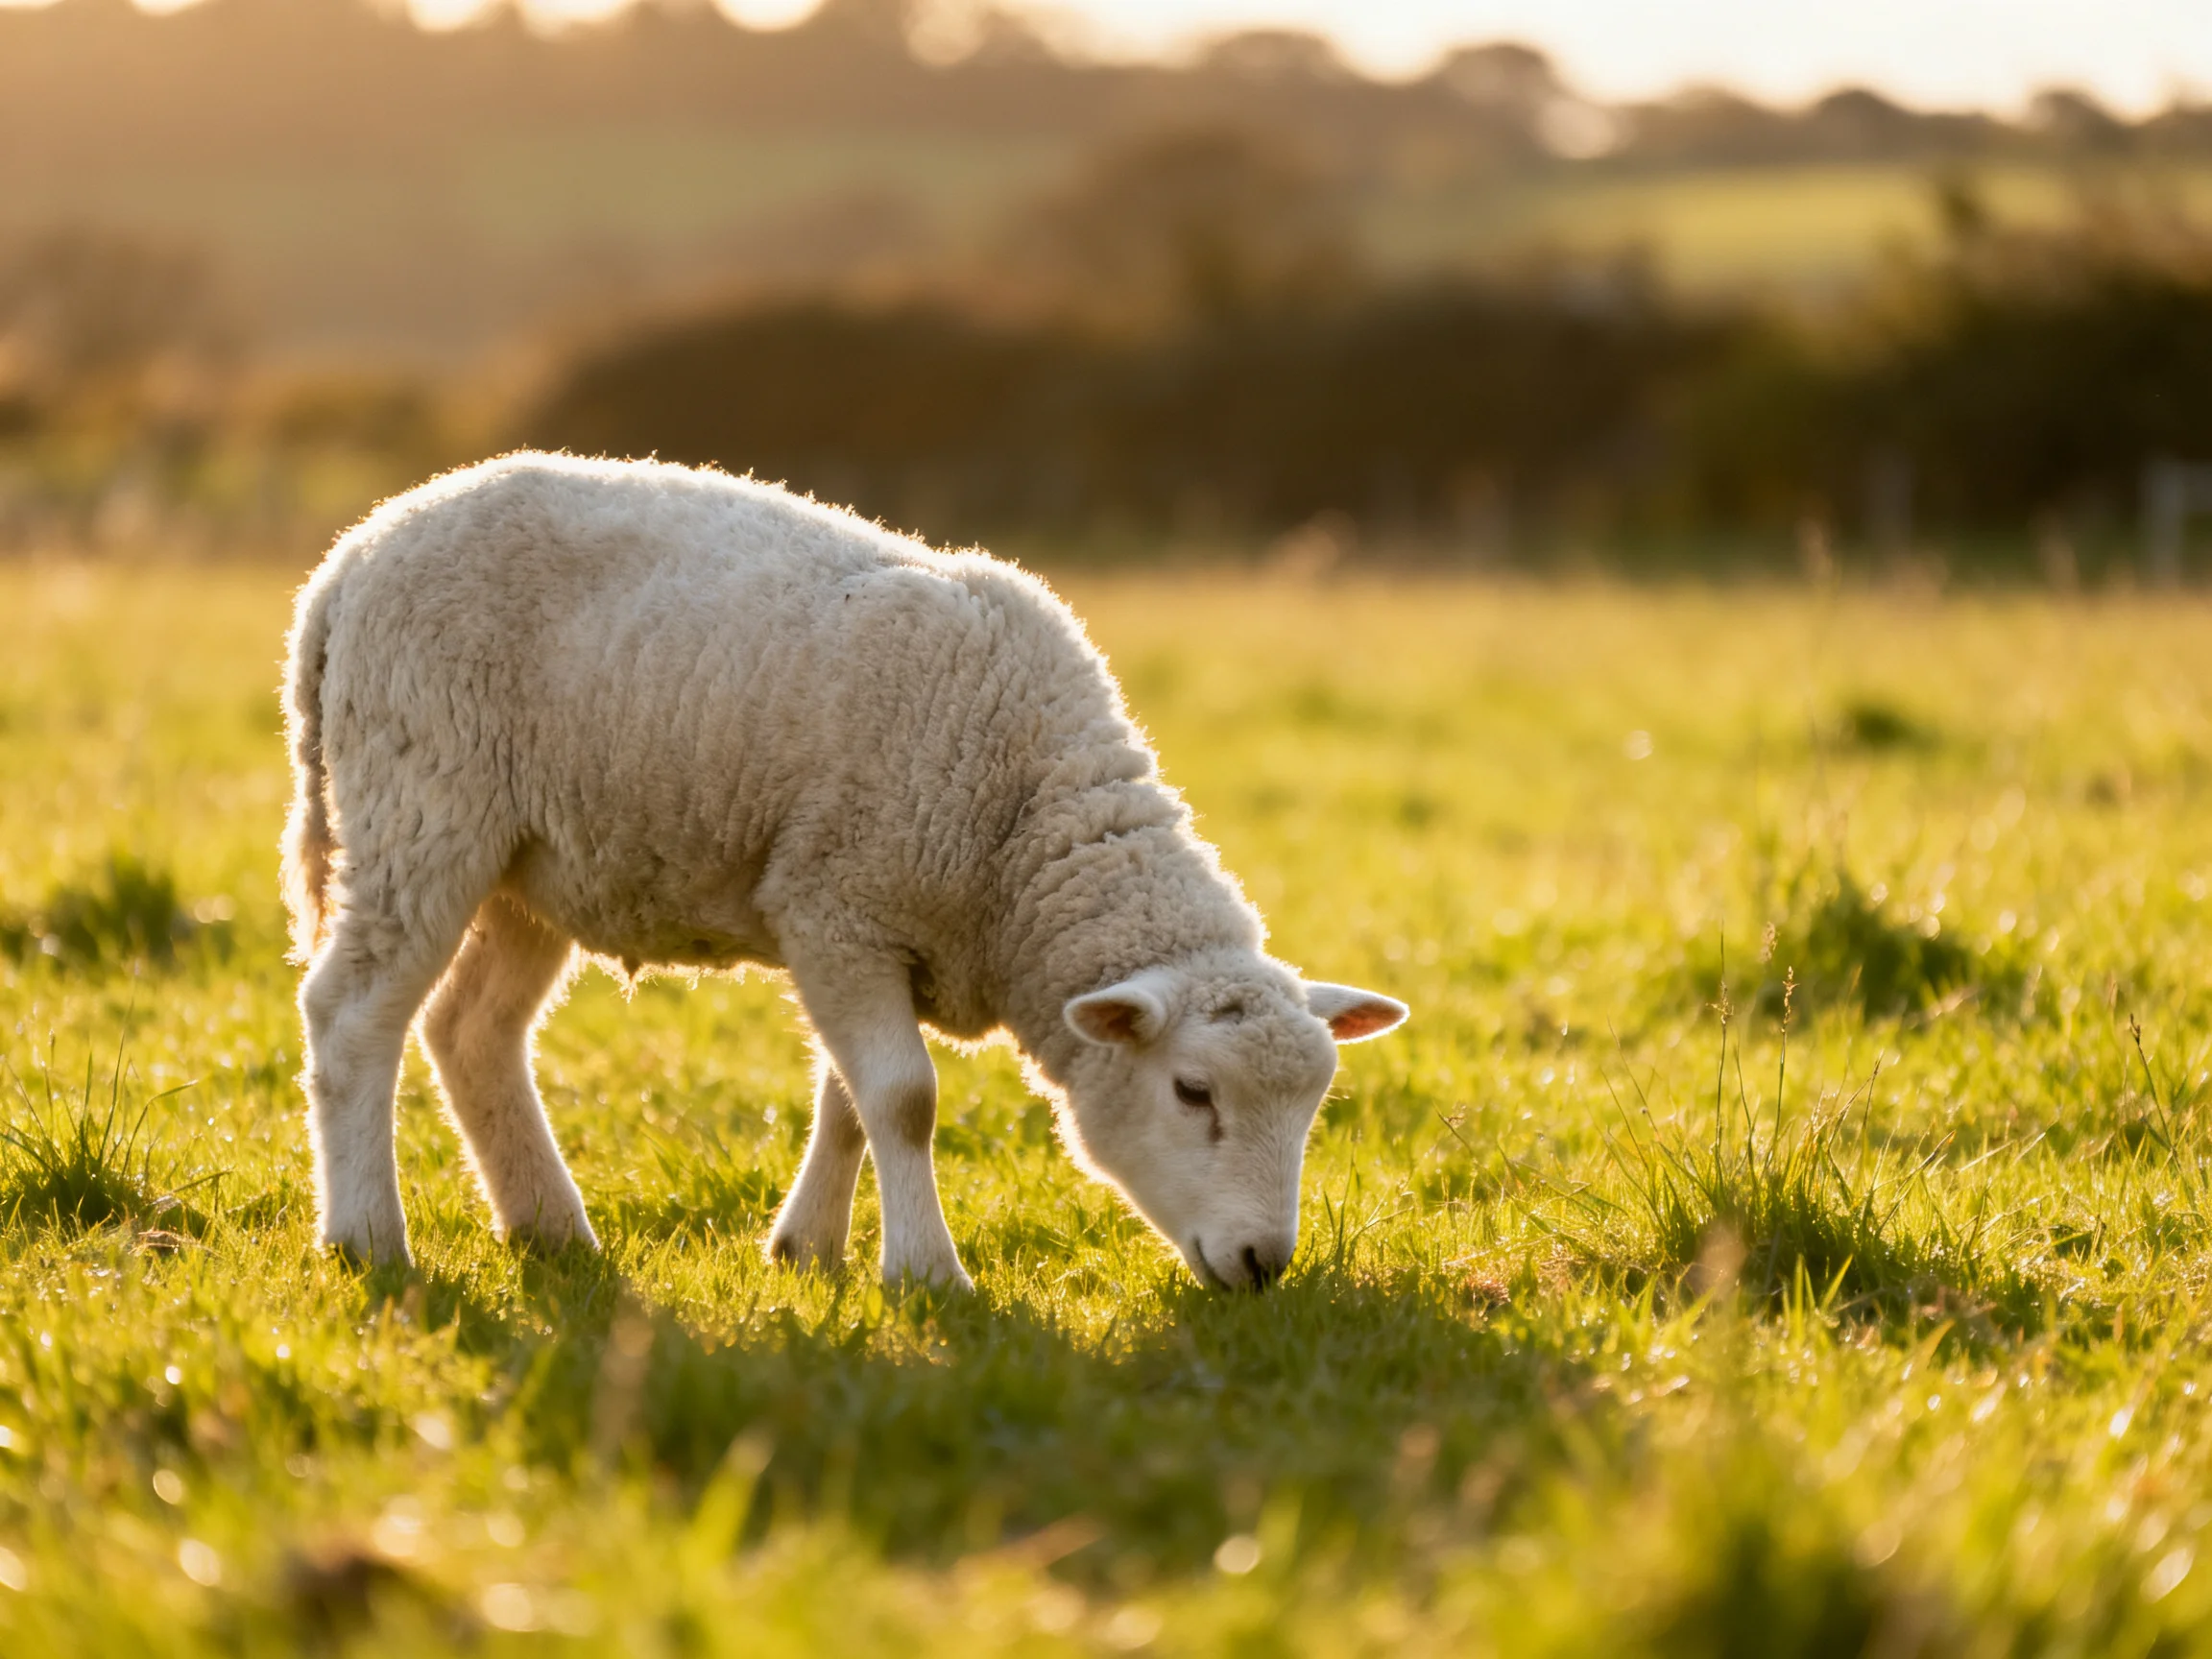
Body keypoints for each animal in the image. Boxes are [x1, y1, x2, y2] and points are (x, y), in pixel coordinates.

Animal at [282, 452, 1407, 1290]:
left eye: (1313, 1109)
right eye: (1191, 1092)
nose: (1264, 1264)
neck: (1021, 836)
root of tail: (351, 557)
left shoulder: (857, 930)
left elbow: (850, 1101)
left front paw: (807, 1250)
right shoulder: (839, 905)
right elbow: (904, 1099)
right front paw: (927, 1275)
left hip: (535, 861)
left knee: (471, 1031)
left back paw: (550, 1227)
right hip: (421, 805)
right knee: (352, 1015)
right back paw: (367, 1239)